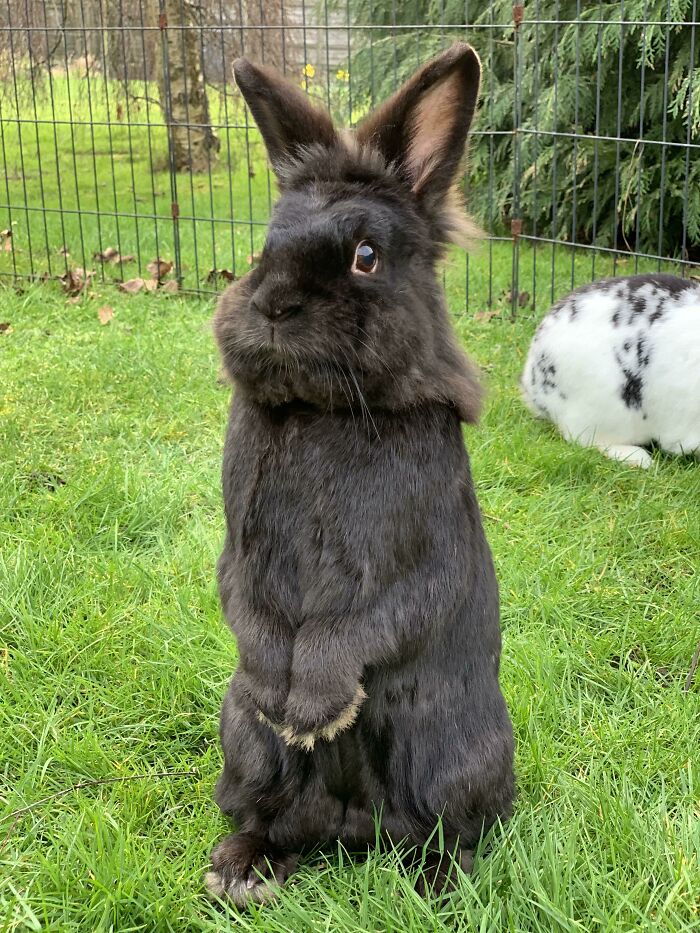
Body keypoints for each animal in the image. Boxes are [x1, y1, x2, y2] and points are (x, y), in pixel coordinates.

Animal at [206, 43, 514, 908]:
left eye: (365, 255)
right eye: (264, 245)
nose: (273, 305)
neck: (325, 409)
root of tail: (351, 827)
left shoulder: (422, 559)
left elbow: (368, 620)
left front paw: (314, 707)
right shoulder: (238, 550)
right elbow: (247, 606)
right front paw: (282, 698)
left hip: (453, 754)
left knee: (450, 830)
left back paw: (440, 884)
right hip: (244, 748)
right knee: (275, 820)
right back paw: (240, 870)